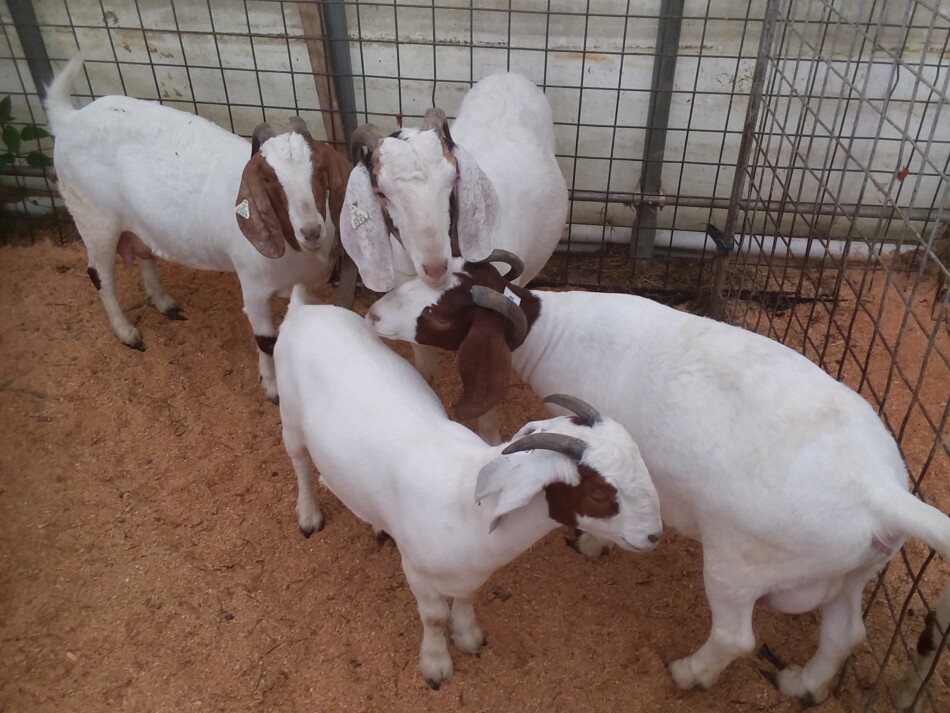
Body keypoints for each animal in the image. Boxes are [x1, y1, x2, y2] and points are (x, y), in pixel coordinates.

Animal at [42, 54, 352, 400]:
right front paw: (272, 389)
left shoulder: (305, 285)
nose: (311, 230)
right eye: (269, 179)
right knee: (100, 275)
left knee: (143, 255)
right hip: (93, 218)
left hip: (136, 223)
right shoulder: (254, 289)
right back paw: (126, 332)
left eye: (319, 170)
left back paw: (164, 303)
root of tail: (70, 119)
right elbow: (266, 341)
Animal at [276, 298, 660, 688]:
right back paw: (308, 515)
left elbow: (465, 600)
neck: (466, 503)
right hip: (290, 417)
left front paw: (468, 636)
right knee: (300, 462)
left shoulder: (471, 573)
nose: (653, 536)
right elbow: (433, 616)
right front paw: (436, 664)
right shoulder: (417, 570)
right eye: (599, 494)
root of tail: (304, 310)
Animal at [368, 254, 950, 700]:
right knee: (845, 633)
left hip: (741, 564)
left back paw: (690, 673)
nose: (373, 312)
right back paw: (802, 685)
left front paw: (593, 545)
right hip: (854, 571)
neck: (553, 332)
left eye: (439, 316)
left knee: (736, 637)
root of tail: (882, 493)